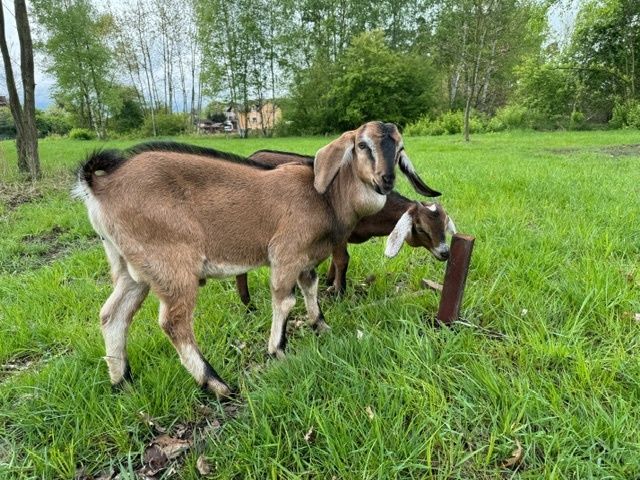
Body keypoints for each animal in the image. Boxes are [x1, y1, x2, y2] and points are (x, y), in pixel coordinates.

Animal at [234, 152, 456, 306]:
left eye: (445, 225)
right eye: (421, 228)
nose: (445, 252)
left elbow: (335, 260)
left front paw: (330, 282)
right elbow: (342, 259)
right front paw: (340, 292)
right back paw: (248, 304)